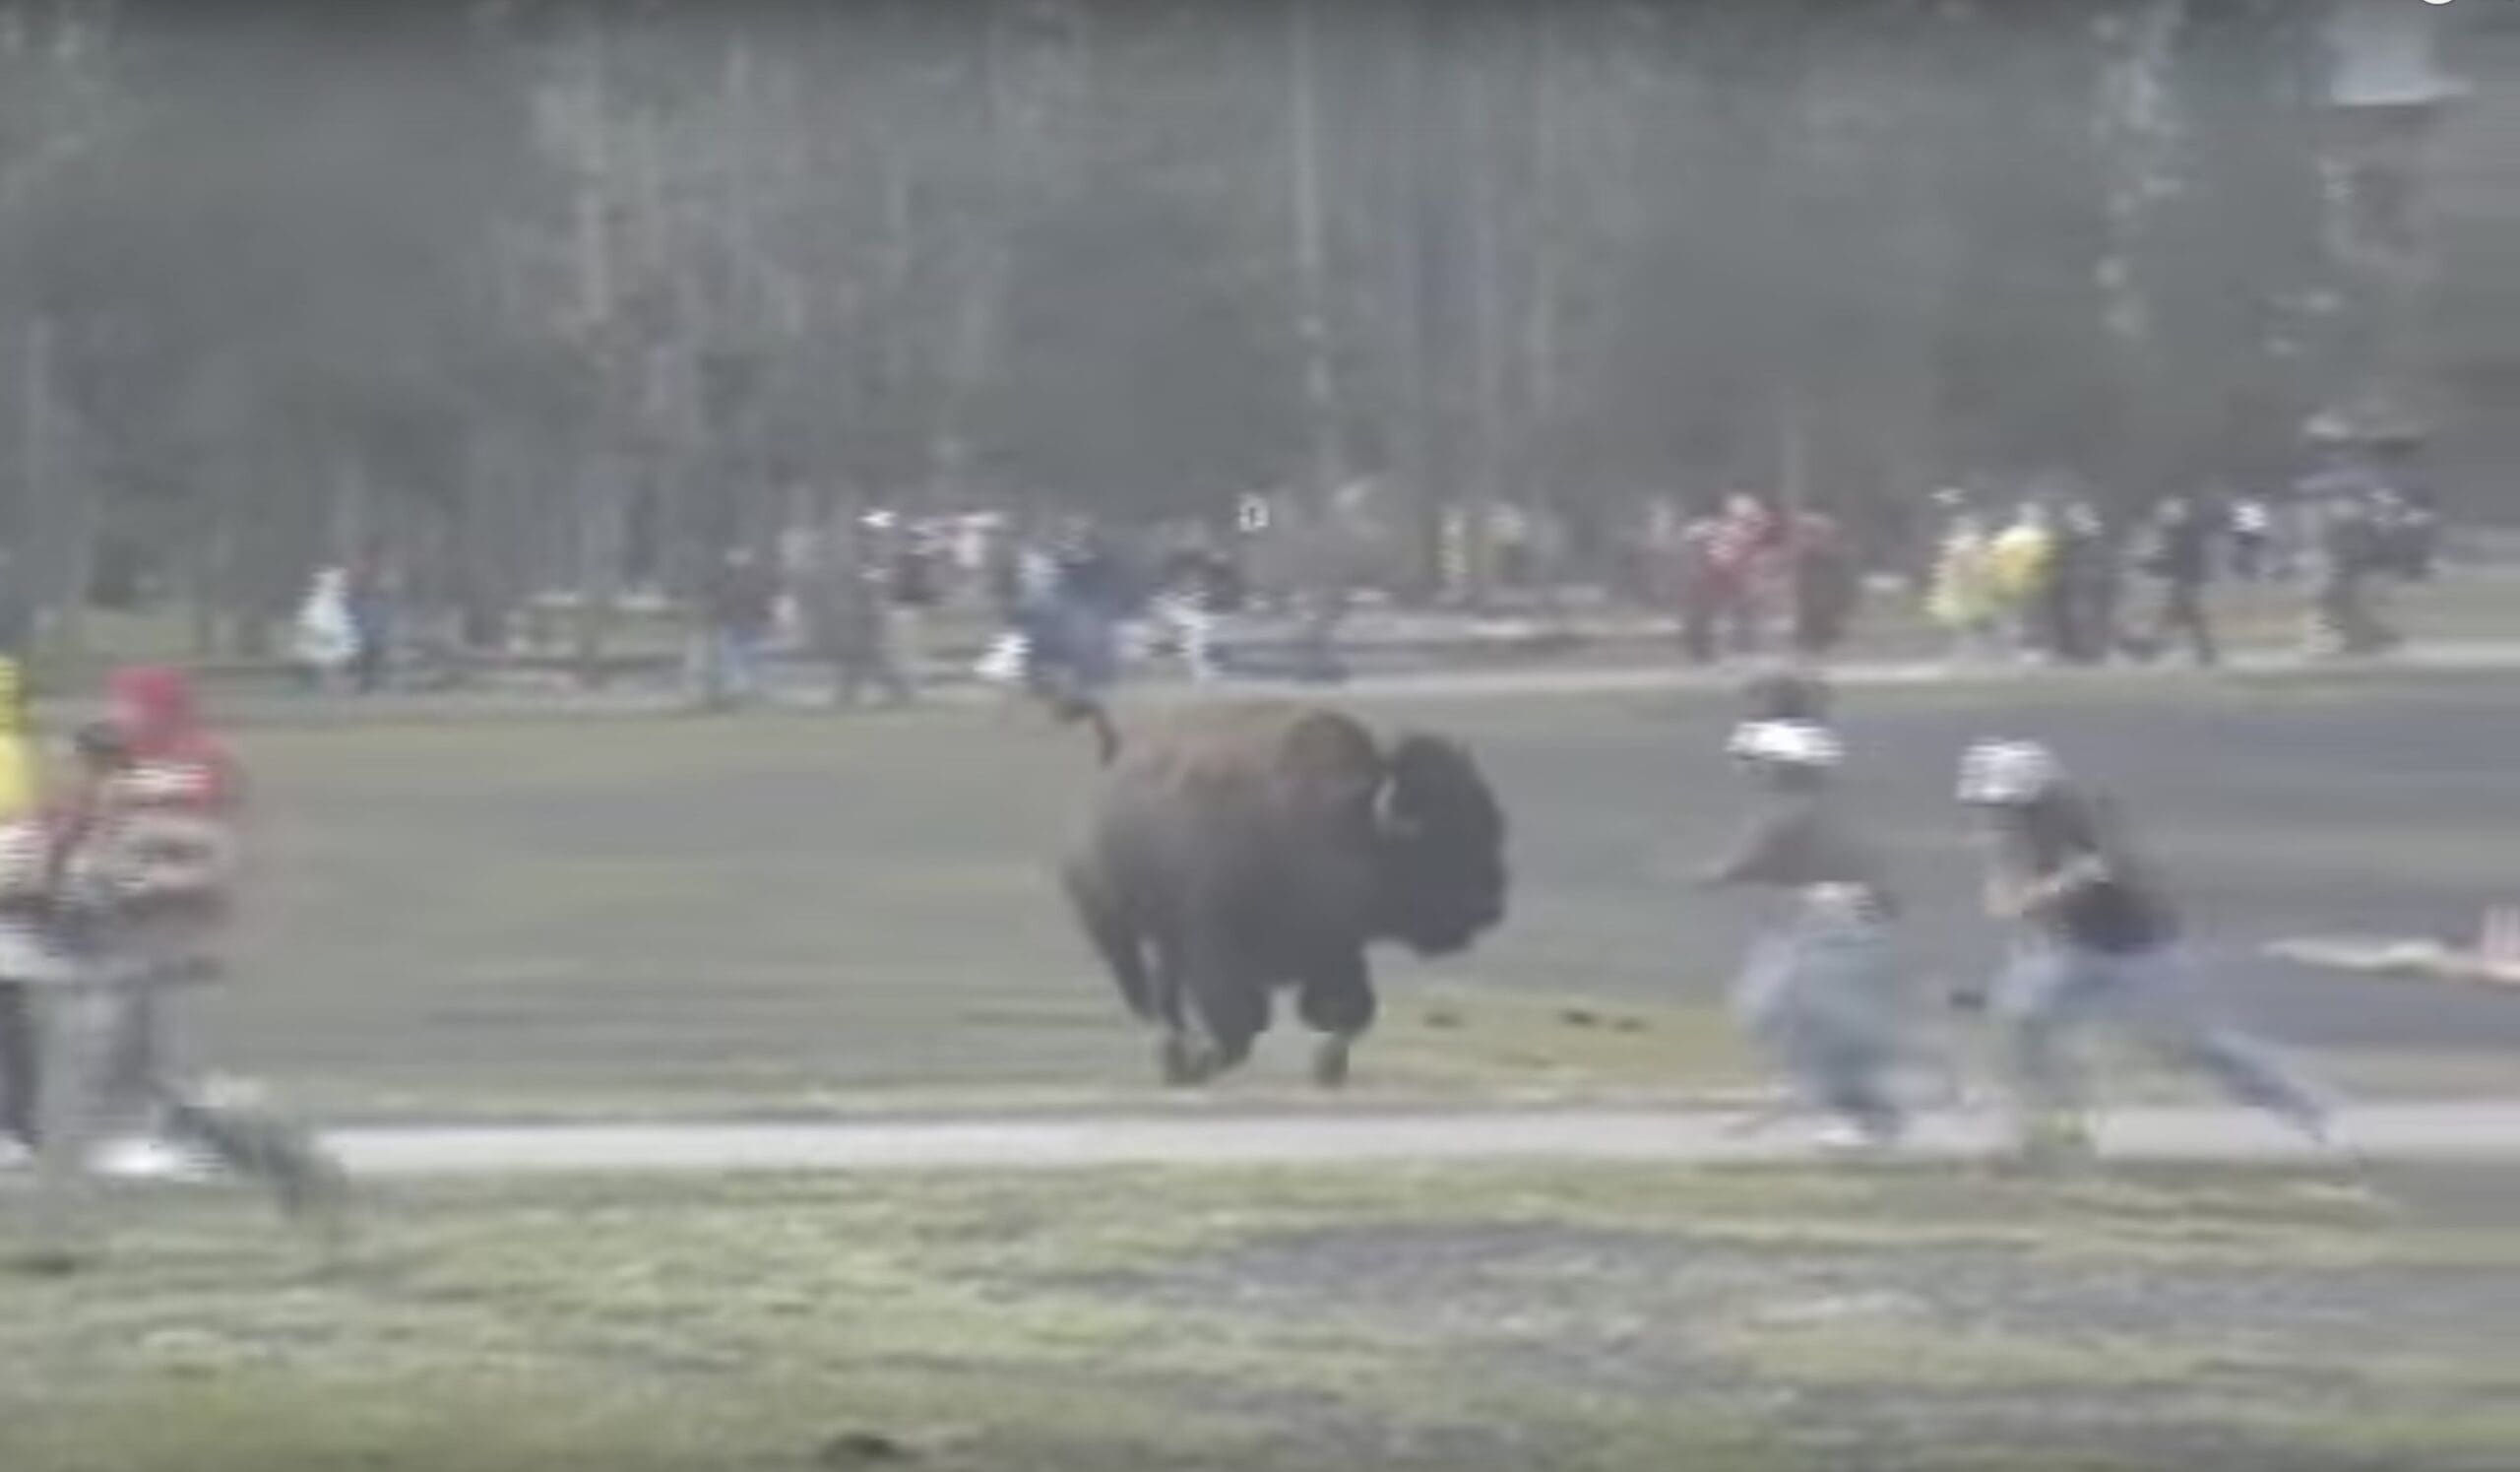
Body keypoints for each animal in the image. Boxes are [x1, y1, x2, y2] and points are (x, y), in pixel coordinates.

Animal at [1060, 699, 1508, 1087]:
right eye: (1439, 841)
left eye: (1489, 825)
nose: (1490, 906)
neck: (1344, 817)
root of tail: (1110, 756)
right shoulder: (1213, 946)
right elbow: (1242, 1023)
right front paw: (1207, 1062)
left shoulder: (1335, 950)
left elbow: (1352, 1010)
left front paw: (1329, 1067)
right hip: (1112, 929)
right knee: (1142, 995)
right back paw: (1177, 1060)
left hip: (1165, 943)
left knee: (1163, 995)